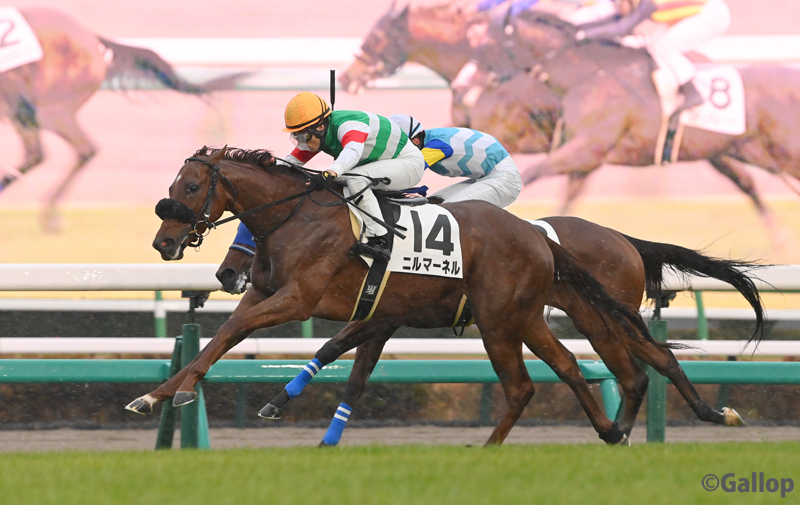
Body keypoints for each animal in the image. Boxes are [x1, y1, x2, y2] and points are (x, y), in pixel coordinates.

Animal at [126, 145, 668, 446]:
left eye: (191, 187)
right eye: (174, 185)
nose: (163, 244)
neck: (298, 217)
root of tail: (538, 238)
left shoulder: (303, 299)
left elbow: (239, 331)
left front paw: (182, 392)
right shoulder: (269, 293)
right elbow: (224, 334)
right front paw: (153, 395)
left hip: (505, 322)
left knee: (531, 385)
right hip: (526, 318)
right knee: (571, 367)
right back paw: (611, 431)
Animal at [216, 215, 760, 444]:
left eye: (249, 233)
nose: (225, 274)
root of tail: (621, 237)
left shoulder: (384, 316)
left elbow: (337, 349)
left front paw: (285, 406)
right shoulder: (385, 318)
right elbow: (349, 366)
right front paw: (296, 415)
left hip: (593, 316)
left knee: (641, 367)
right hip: (571, 316)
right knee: (642, 366)